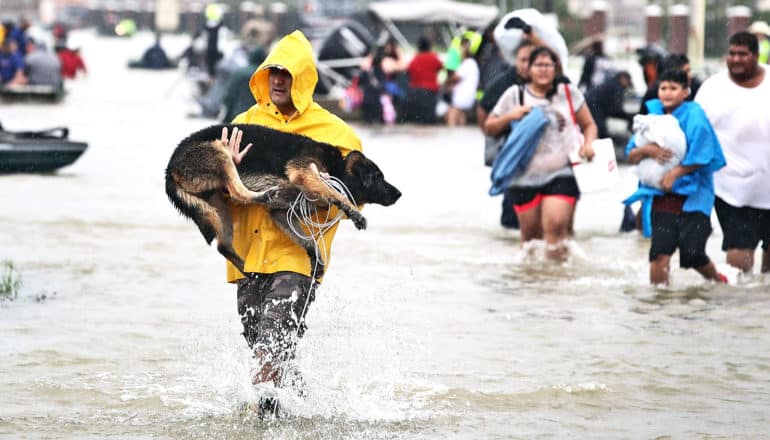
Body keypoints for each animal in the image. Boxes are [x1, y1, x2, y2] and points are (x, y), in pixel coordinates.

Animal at [164, 124, 402, 276]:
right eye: (378, 177)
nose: (399, 194)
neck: (338, 168)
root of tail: (170, 167)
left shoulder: (281, 213)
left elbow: (307, 240)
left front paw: (316, 260)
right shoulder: (305, 172)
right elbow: (337, 194)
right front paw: (354, 213)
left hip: (218, 205)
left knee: (223, 246)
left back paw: (247, 269)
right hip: (221, 153)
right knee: (237, 191)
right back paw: (261, 195)